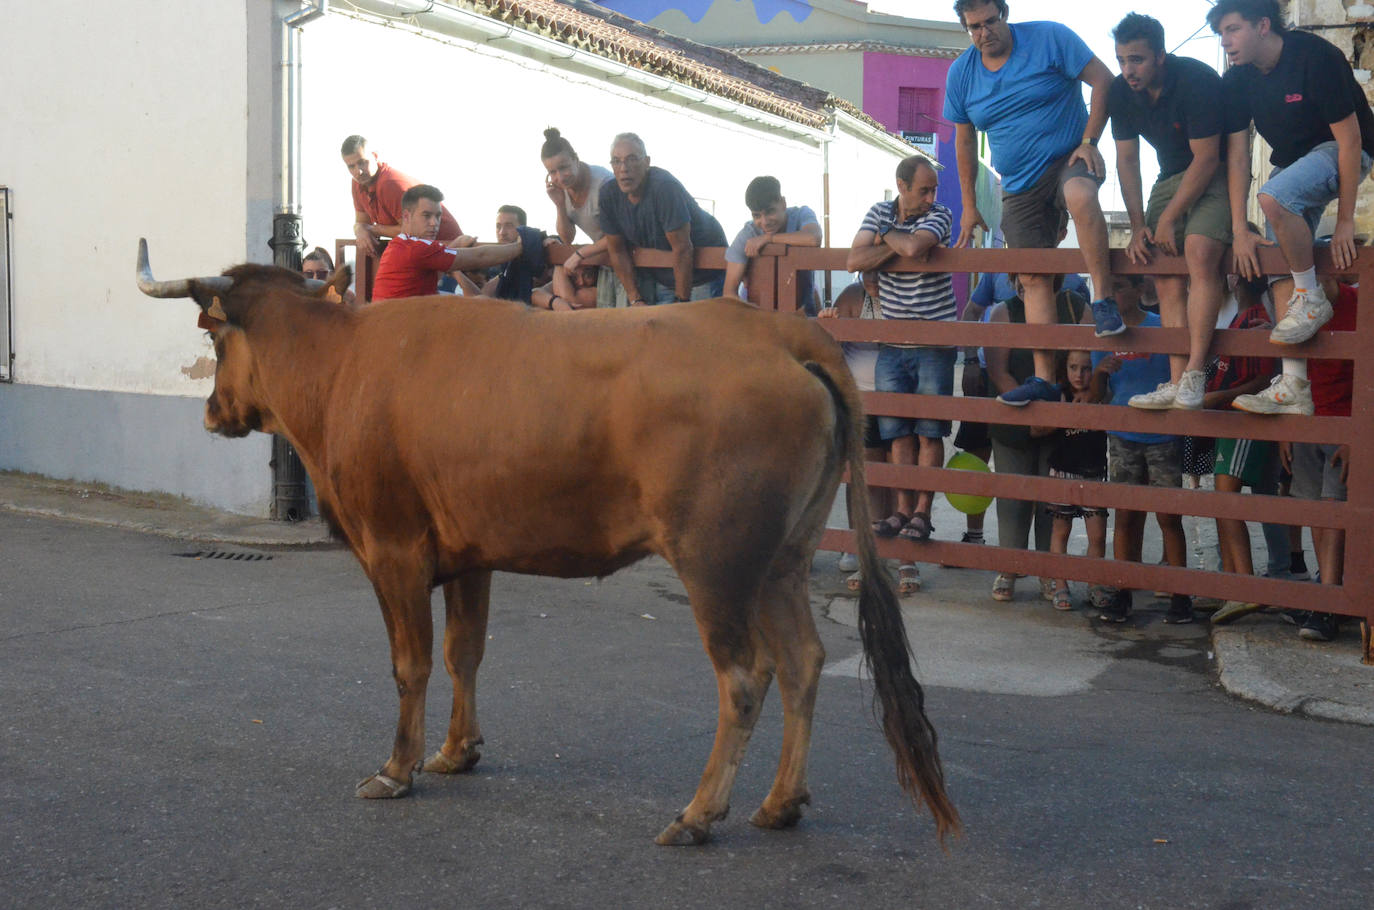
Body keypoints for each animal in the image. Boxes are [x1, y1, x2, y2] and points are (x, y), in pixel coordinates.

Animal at [136, 240, 956, 846]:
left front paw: (398, 768)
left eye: (213, 332)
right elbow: (466, 653)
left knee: (745, 677)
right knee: (803, 663)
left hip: (718, 563)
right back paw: (781, 803)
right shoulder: (467, 553)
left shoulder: (394, 548)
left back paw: (699, 813)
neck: (343, 368)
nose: (212, 412)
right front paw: (456, 752)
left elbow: (411, 664)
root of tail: (780, 330)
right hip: (780, 562)